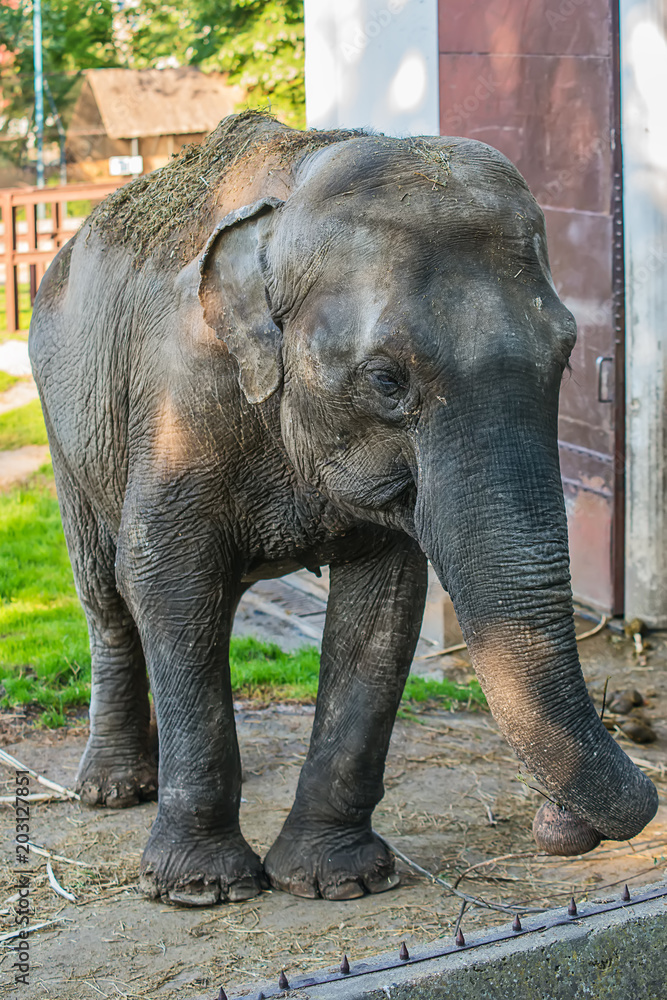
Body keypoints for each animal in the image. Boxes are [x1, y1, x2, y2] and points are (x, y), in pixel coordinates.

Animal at [29, 112, 657, 906]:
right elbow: (167, 582)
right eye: (386, 380)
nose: (558, 819)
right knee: (107, 595)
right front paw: (201, 888)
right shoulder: (178, 403)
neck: (293, 193)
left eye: (568, 356)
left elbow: (384, 606)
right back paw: (116, 790)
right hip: (65, 424)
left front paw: (338, 881)